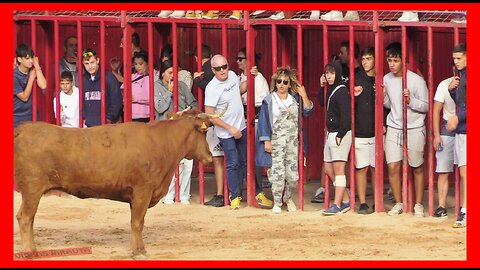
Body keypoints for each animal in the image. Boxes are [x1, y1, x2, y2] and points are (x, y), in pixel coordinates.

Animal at [14, 110, 213, 258]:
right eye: (204, 132)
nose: (210, 156)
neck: (161, 143)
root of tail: (24, 129)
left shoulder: (138, 196)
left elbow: (139, 223)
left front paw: (141, 249)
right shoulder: (142, 191)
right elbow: (136, 223)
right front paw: (138, 253)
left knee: (29, 219)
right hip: (32, 190)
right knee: (25, 218)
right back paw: (30, 252)